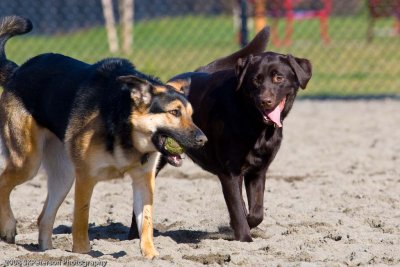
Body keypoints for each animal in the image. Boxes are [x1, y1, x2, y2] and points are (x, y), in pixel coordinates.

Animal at [0, 15, 206, 258]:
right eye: (174, 113)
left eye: (191, 115)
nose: (203, 140)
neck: (124, 128)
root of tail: (18, 71)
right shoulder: (86, 177)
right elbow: (81, 220)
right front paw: (82, 252)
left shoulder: (144, 180)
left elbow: (146, 222)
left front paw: (151, 255)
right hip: (28, 162)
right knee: (4, 183)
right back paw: (8, 226)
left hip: (63, 175)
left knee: (43, 217)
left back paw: (48, 251)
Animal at [131, 27, 312, 243]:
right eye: (256, 79)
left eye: (279, 78)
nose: (264, 101)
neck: (254, 124)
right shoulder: (230, 173)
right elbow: (238, 209)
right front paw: (244, 237)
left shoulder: (258, 171)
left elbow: (256, 212)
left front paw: (240, 225)